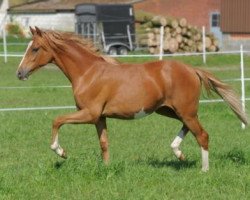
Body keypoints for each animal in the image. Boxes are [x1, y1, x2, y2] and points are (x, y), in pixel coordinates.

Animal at [16, 27, 248, 172]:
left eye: (35, 48)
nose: (19, 73)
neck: (88, 72)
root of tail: (192, 70)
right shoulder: (99, 117)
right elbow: (104, 143)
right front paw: (107, 169)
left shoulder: (89, 113)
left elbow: (57, 120)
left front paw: (61, 152)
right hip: (170, 110)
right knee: (189, 128)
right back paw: (178, 153)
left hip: (184, 110)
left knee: (202, 135)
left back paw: (204, 169)